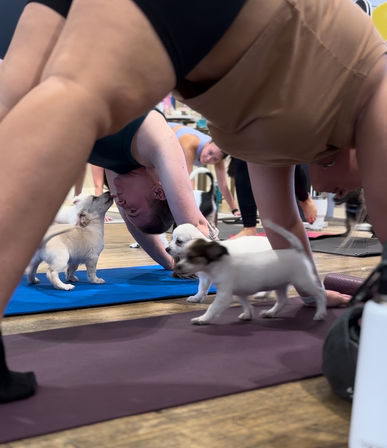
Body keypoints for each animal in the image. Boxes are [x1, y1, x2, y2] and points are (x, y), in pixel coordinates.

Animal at [174, 221, 328, 324]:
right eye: (183, 255)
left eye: (191, 257)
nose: (177, 267)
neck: (218, 263)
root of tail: (296, 250)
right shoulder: (239, 293)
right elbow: (246, 305)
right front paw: (248, 315)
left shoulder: (224, 295)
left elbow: (212, 308)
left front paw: (202, 319)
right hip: (280, 284)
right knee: (283, 301)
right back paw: (270, 312)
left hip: (303, 281)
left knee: (320, 292)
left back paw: (320, 313)